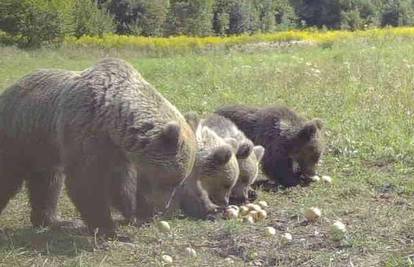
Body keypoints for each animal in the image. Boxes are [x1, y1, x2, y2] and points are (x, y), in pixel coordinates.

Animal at [0, 58, 197, 239]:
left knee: (48, 183)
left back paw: (54, 220)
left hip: (44, 147)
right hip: (18, 137)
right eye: (169, 181)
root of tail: (8, 89)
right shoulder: (83, 133)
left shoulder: (115, 150)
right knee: (9, 177)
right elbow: (86, 182)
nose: (162, 208)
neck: (111, 122)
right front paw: (108, 228)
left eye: (179, 181)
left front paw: (134, 215)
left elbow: (120, 184)